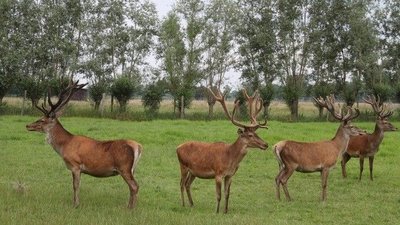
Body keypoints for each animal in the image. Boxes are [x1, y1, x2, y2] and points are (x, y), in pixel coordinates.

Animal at [26, 80, 142, 208]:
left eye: (42, 120)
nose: (28, 125)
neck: (64, 145)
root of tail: (138, 146)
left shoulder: (75, 165)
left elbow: (75, 186)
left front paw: (75, 204)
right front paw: (76, 203)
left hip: (124, 167)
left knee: (135, 186)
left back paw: (131, 208)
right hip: (132, 169)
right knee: (132, 186)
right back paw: (129, 206)